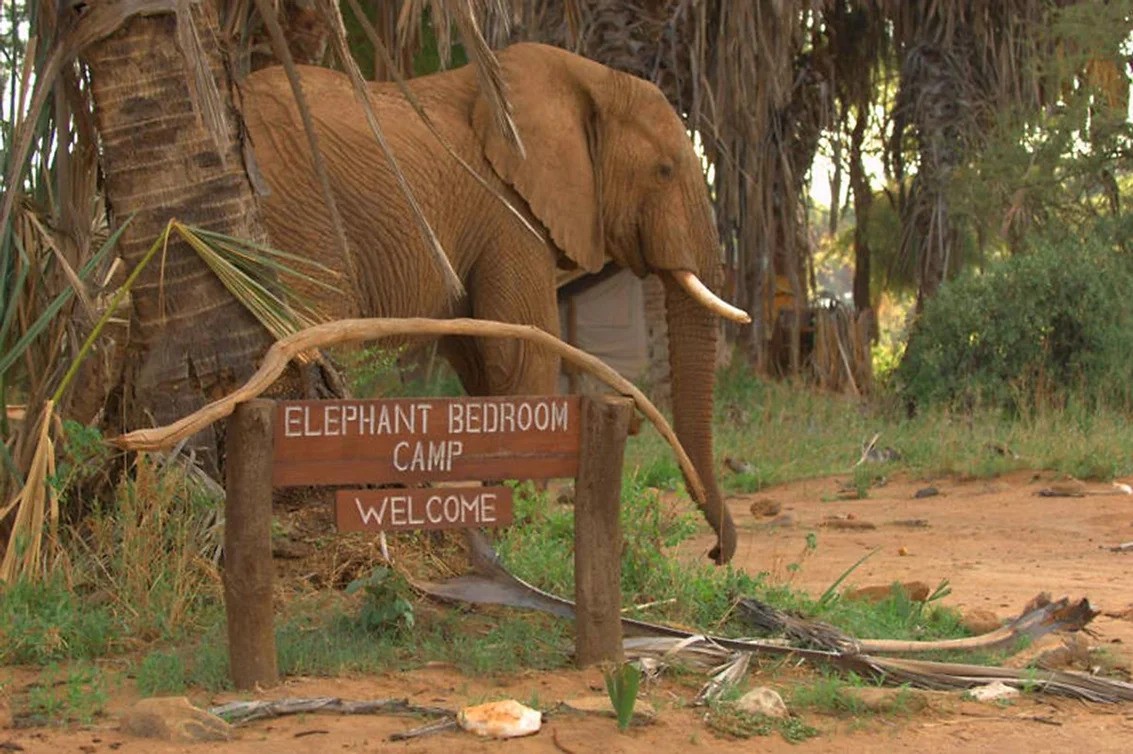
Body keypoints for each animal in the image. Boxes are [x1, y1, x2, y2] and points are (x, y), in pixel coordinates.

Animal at [241, 42, 747, 563]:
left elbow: (483, 363)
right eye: (664, 171)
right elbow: (522, 355)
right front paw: (522, 531)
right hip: (302, 217)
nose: (716, 553)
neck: (587, 77)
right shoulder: (509, 213)